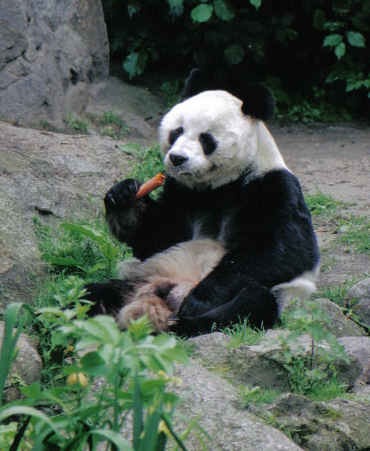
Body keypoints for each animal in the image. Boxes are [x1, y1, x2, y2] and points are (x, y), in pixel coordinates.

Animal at [85, 70, 320, 338]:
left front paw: (200, 300)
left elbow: (281, 251)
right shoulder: (183, 192)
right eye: (176, 132)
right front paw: (124, 195)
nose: (177, 158)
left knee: (253, 302)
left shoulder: (273, 187)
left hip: (280, 294)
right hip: (143, 276)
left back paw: (185, 321)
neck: (219, 186)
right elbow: (156, 238)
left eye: (206, 139)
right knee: (92, 293)